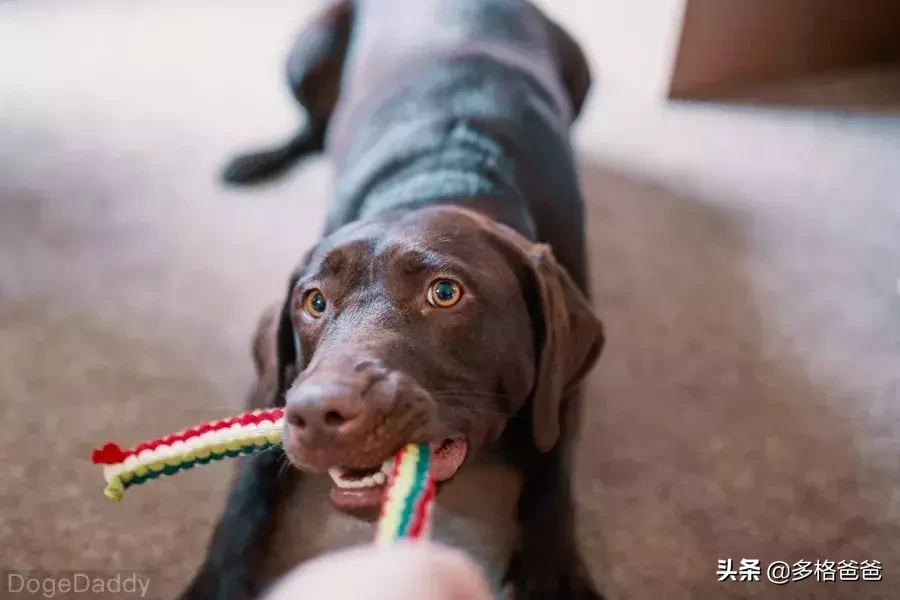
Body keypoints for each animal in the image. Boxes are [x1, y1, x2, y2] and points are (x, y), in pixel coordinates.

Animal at [182, 1, 604, 600]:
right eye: (314, 302)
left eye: (445, 293)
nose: (318, 413)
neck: (444, 177)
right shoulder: (277, 382)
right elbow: (248, 486)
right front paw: (218, 578)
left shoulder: (562, 379)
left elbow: (551, 462)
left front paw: (553, 570)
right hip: (309, 46)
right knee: (313, 130)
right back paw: (257, 159)